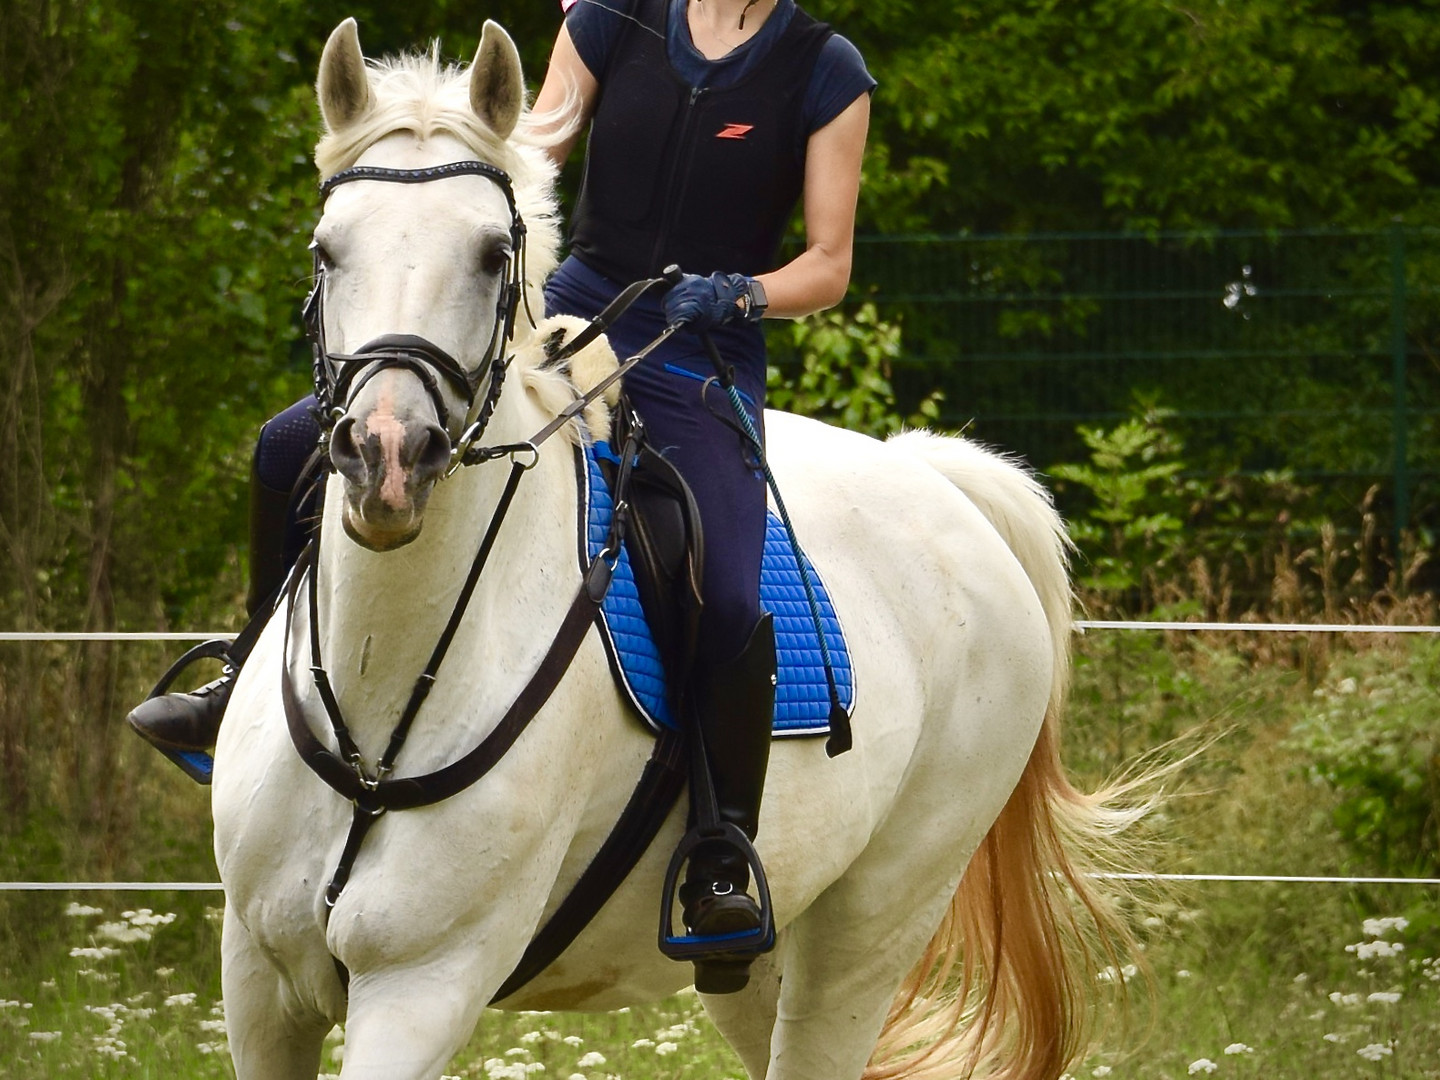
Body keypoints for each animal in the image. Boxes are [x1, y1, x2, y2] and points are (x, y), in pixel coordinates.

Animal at [208, 19, 1140, 1080]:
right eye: (326, 251)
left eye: (491, 254)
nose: (387, 458)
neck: (380, 697)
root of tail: (942, 486)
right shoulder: (259, 980)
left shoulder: (422, 987)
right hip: (758, 951)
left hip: (872, 922)